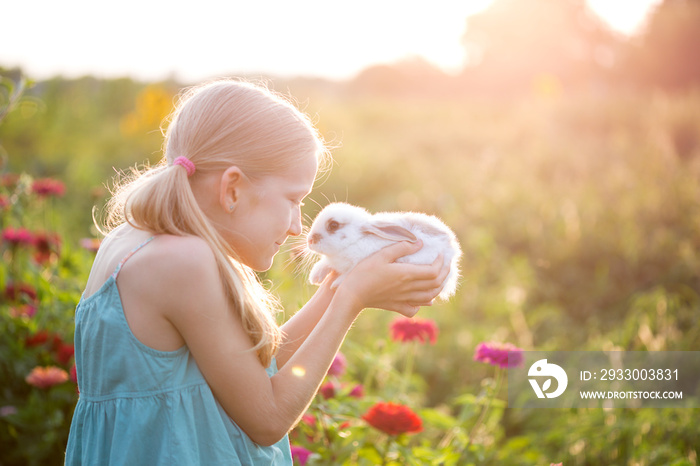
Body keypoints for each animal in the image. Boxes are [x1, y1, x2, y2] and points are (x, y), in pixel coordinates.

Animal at [304, 202, 460, 300]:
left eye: (333, 225)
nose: (309, 240)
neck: (357, 240)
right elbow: (325, 263)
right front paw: (315, 277)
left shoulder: (356, 264)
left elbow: (348, 274)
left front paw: (336, 283)